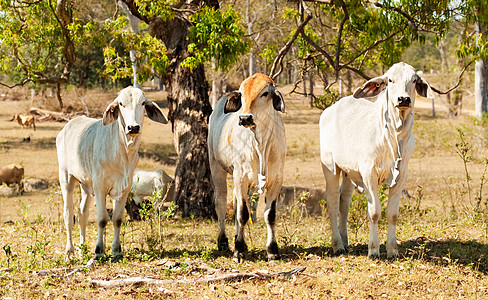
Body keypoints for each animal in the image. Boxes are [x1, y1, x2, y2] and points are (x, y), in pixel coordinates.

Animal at [55, 86, 168, 260]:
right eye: (121, 104)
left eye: (143, 103)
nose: (133, 127)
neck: (122, 151)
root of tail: (67, 126)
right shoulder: (100, 186)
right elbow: (102, 219)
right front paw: (99, 250)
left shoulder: (124, 187)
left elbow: (117, 219)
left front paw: (116, 250)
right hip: (66, 177)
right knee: (68, 214)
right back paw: (70, 251)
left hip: (85, 184)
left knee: (82, 214)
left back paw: (82, 248)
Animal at [207, 74, 286, 262]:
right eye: (242, 95)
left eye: (265, 93)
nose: (244, 119)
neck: (260, 142)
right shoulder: (240, 177)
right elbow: (243, 214)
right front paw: (239, 251)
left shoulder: (276, 180)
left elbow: (270, 215)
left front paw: (272, 250)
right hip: (217, 167)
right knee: (221, 203)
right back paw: (224, 242)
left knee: (235, 204)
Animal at [322, 62, 432, 258]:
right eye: (390, 80)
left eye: (414, 80)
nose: (403, 99)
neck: (394, 137)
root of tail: (329, 110)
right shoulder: (368, 174)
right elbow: (374, 212)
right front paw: (373, 249)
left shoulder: (401, 175)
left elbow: (392, 214)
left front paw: (392, 249)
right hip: (330, 167)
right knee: (333, 201)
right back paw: (337, 245)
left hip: (349, 172)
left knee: (344, 202)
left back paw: (345, 240)